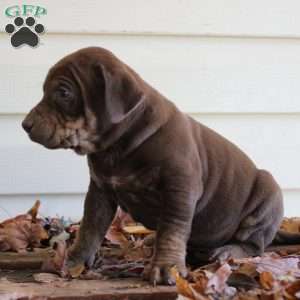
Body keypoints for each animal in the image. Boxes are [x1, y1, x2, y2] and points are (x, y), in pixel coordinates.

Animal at [22, 47, 284, 284]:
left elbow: (172, 230)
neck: (117, 144)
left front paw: (167, 266)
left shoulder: (179, 188)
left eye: (63, 92)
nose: (25, 125)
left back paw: (229, 251)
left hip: (267, 196)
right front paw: (73, 260)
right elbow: (89, 228)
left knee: (254, 244)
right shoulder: (100, 190)